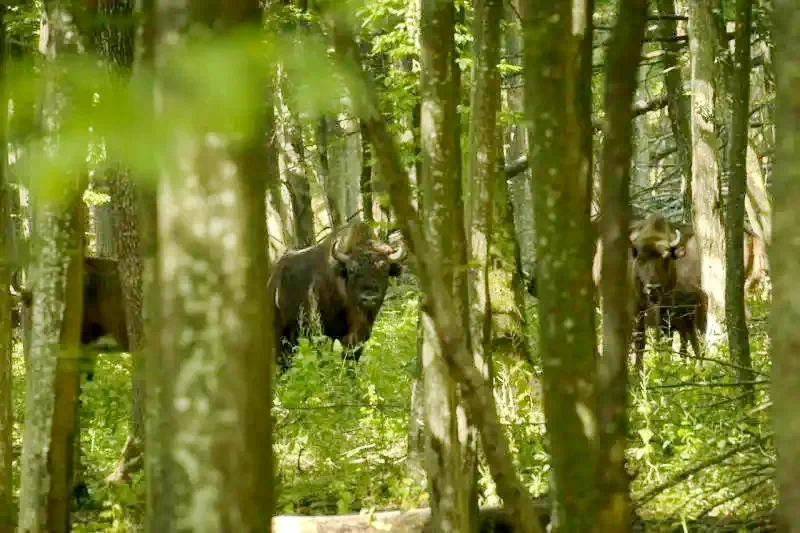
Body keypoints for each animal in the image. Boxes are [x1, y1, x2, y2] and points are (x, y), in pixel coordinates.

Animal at [268, 220, 406, 370]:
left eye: (385, 269)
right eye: (351, 270)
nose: (369, 298)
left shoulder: (358, 334)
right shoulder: (322, 331)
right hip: (280, 331)